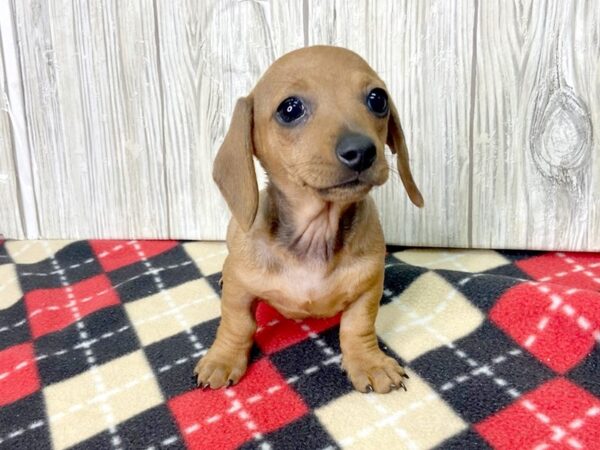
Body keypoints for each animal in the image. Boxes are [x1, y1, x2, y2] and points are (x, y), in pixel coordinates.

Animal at [196, 44, 422, 392]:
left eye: (378, 99)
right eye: (290, 109)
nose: (361, 151)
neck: (316, 232)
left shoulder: (368, 287)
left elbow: (357, 326)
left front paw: (369, 362)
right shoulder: (239, 292)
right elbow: (237, 324)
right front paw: (223, 358)